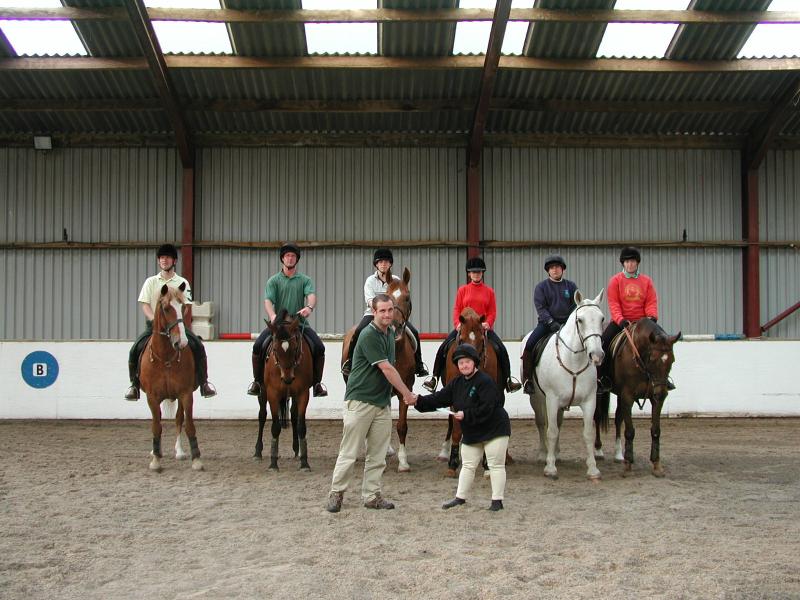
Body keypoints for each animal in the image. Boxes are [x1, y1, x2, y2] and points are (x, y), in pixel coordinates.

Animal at [137, 282, 202, 474]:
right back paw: (155, 451)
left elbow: (188, 424)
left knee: (178, 419)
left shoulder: (186, 394)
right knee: (158, 419)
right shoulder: (152, 397)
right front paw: (156, 460)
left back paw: (179, 452)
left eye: (183, 307)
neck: (165, 357)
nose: (181, 342)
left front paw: (196, 459)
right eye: (166, 308)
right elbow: (156, 426)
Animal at [258, 312, 318, 472]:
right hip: (262, 392)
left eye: (295, 348)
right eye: (275, 349)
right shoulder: (272, 394)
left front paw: (304, 462)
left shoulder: (303, 393)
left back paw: (297, 450)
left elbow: (301, 425)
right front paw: (273, 463)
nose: (288, 378)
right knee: (261, 416)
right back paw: (257, 452)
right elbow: (275, 427)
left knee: (294, 414)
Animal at [438, 308, 500, 476]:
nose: (470, 361)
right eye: (462, 338)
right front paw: (453, 464)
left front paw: (487, 465)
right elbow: (456, 430)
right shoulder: (454, 398)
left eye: (481, 338)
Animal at [592, 318, 680, 478]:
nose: (662, 393)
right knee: (597, 416)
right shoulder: (627, 397)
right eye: (653, 359)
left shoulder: (654, 399)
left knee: (618, 419)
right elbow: (630, 431)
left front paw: (657, 465)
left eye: (672, 360)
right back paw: (598, 450)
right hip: (598, 392)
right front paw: (628, 466)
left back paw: (618, 454)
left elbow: (655, 430)